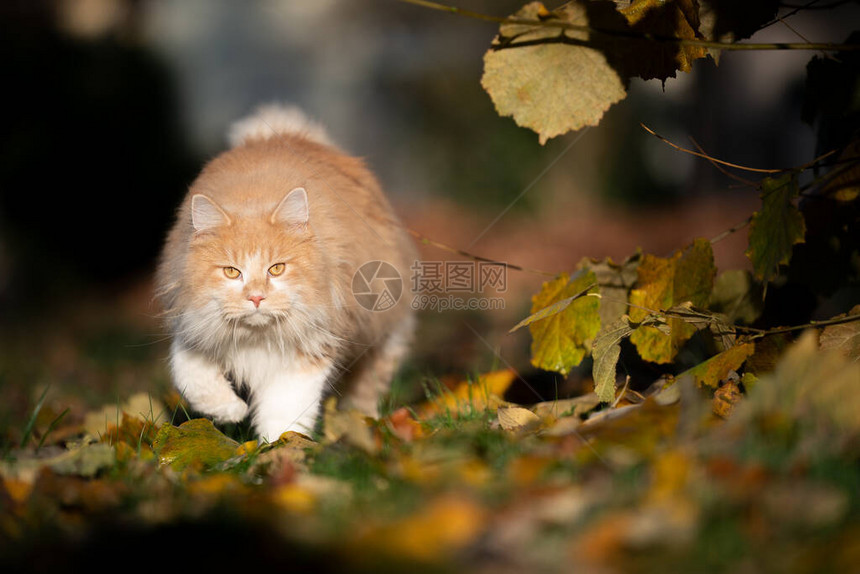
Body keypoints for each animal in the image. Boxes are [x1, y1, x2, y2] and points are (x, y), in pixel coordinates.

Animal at [160, 106, 422, 444]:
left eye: (277, 269)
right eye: (232, 272)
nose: (256, 297)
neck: (257, 339)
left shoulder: (306, 353)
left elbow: (284, 416)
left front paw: (277, 450)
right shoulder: (193, 332)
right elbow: (194, 380)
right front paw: (232, 412)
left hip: (383, 333)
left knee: (368, 388)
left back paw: (363, 425)